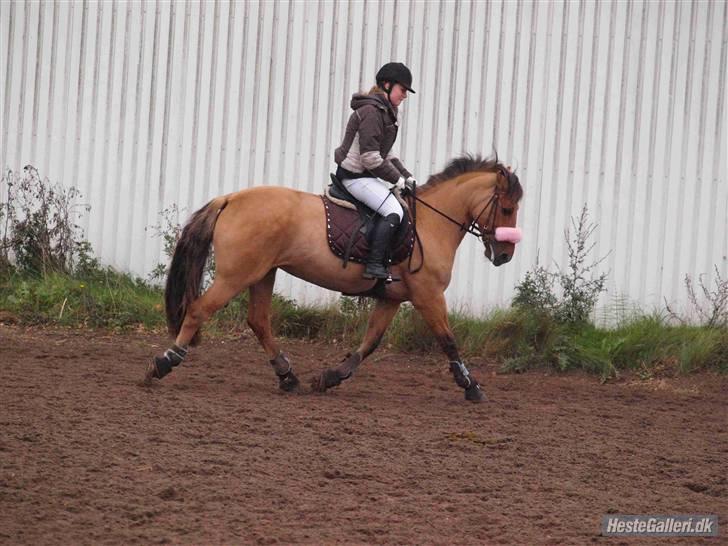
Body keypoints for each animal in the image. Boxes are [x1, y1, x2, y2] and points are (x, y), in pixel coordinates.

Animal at [146, 153, 524, 400]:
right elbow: (448, 340)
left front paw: (330, 378)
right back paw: (164, 363)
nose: (505, 256)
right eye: (506, 208)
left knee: (258, 321)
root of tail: (230, 198)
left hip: (262, 273)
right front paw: (472, 386)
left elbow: (370, 343)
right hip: (235, 275)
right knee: (199, 310)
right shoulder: (427, 296)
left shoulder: (391, 298)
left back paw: (288, 377)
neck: (431, 225)